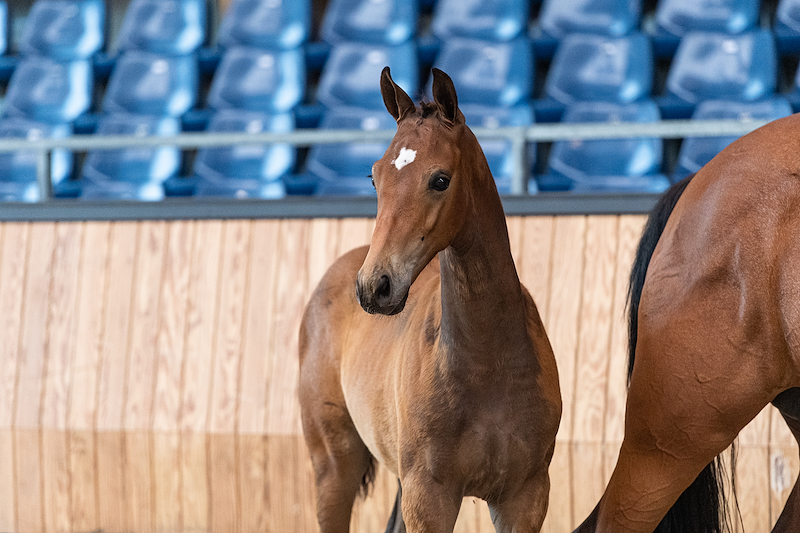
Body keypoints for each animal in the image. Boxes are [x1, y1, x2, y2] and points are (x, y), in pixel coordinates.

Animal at [298, 67, 562, 533]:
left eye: (440, 179)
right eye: (375, 177)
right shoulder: (429, 496)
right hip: (334, 466)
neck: (488, 363)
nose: (375, 286)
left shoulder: (524, 498)